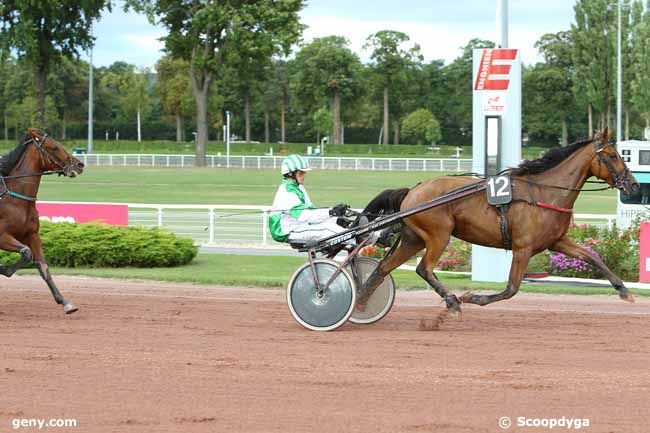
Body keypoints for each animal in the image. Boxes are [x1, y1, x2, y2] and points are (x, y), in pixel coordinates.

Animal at [0, 128, 83, 314]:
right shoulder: (1, 236)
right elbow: (26, 253)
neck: (15, 200)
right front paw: (3, 268)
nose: (80, 164)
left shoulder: (32, 235)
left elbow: (43, 267)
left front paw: (65, 302)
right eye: (54, 147)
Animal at [360, 130, 636, 316]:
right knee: (423, 269)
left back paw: (362, 302)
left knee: (383, 268)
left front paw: (624, 290)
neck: (544, 193)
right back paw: (452, 301)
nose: (633, 184)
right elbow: (512, 288)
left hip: (414, 239)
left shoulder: (557, 241)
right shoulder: (523, 248)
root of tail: (413, 191)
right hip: (439, 235)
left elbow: (593, 257)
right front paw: (473, 297)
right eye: (613, 155)